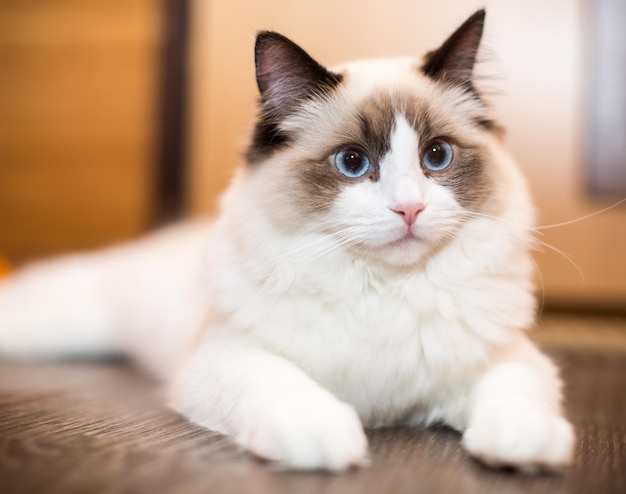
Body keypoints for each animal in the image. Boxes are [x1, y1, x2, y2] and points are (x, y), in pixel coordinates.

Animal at [0, 10, 572, 470]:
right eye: (352, 162)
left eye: (437, 156)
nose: (409, 208)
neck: (385, 290)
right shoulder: (228, 357)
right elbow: (285, 387)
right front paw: (329, 442)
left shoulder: (505, 358)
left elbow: (515, 395)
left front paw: (522, 447)